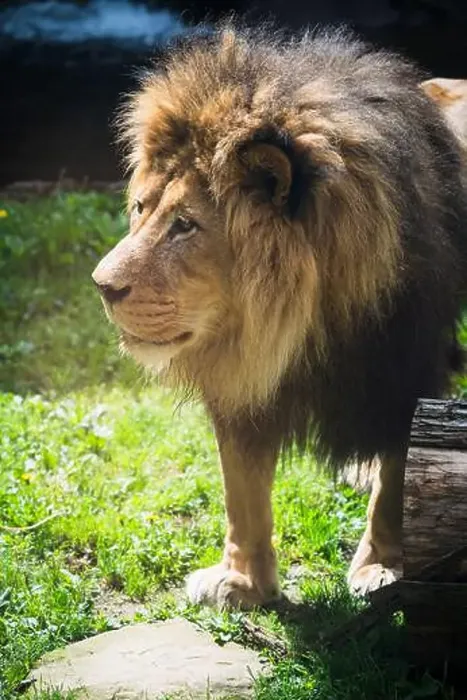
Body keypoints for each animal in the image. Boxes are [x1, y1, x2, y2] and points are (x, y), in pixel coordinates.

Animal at [92, 25, 467, 607]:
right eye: (140, 209)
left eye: (185, 225)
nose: (103, 286)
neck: (295, 321)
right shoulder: (242, 373)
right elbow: (241, 490)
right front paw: (243, 582)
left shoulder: (403, 371)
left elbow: (398, 475)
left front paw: (381, 566)